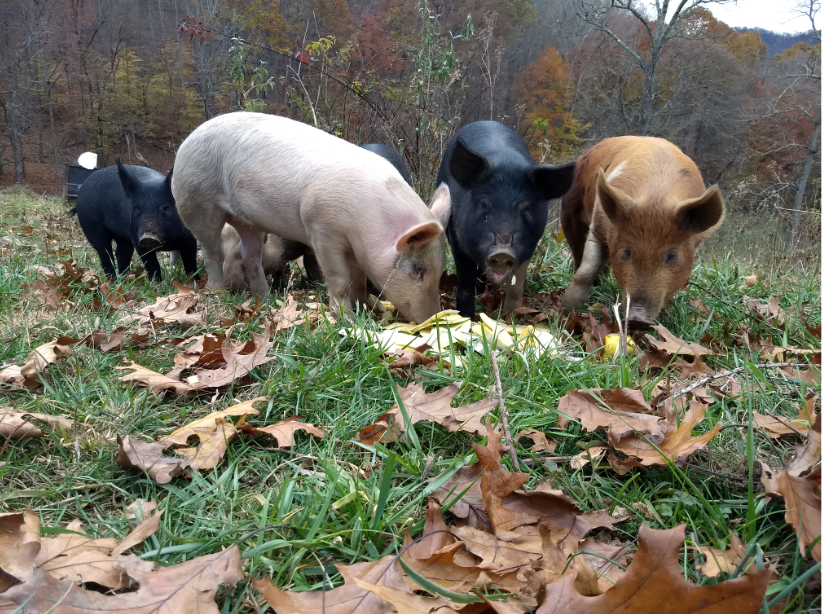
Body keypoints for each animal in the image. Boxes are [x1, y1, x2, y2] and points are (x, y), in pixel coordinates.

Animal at [69, 159, 200, 284]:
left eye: (165, 207)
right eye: (138, 208)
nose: (148, 237)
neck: (168, 243)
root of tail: (82, 189)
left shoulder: (190, 238)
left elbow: (190, 264)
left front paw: (196, 282)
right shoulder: (137, 240)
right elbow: (152, 264)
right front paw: (156, 284)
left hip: (123, 237)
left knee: (121, 254)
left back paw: (124, 279)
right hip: (91, 226)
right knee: (105, 255)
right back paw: (113, 281)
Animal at [172, 112, 450, 322]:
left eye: (440, 269)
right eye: (418, 269)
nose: (431, 318)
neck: (367, 223)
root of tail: (186, 141)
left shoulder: (357, 249)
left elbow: (359, 279)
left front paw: (370, 310)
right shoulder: (321, 229)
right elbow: (340, 279)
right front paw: (348, 319)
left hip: (247, 222)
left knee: (250, 253)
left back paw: (266, 297)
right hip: (196, 203)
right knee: (212, 252)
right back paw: (219, 294)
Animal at [438, 123, 572, 320]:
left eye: (526, 207)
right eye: (484, 203)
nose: (503, 252)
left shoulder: (529, 245)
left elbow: (516, 287)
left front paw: (511, 318)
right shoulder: (456, 237)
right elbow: (465, 285)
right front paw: (467, 318)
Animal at [560, 137, 728, 330]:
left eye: (671, 256)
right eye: (627, 252)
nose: (637, 318)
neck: (657, 195)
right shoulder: (596, 228)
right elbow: (586, 271)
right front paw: (566, 310)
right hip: (568, 212)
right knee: (577, 253)